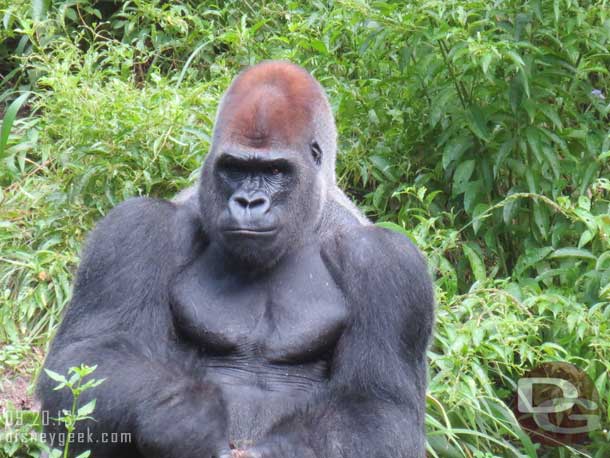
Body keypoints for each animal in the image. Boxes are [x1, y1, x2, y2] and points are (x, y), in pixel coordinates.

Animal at [36, 61, 432, 458]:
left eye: (275, 171)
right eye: (235, 168)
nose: (248, 202)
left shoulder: (389, 262)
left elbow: (380, 405)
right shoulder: (136, 226)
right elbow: (86, 359)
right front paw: (183, 416)